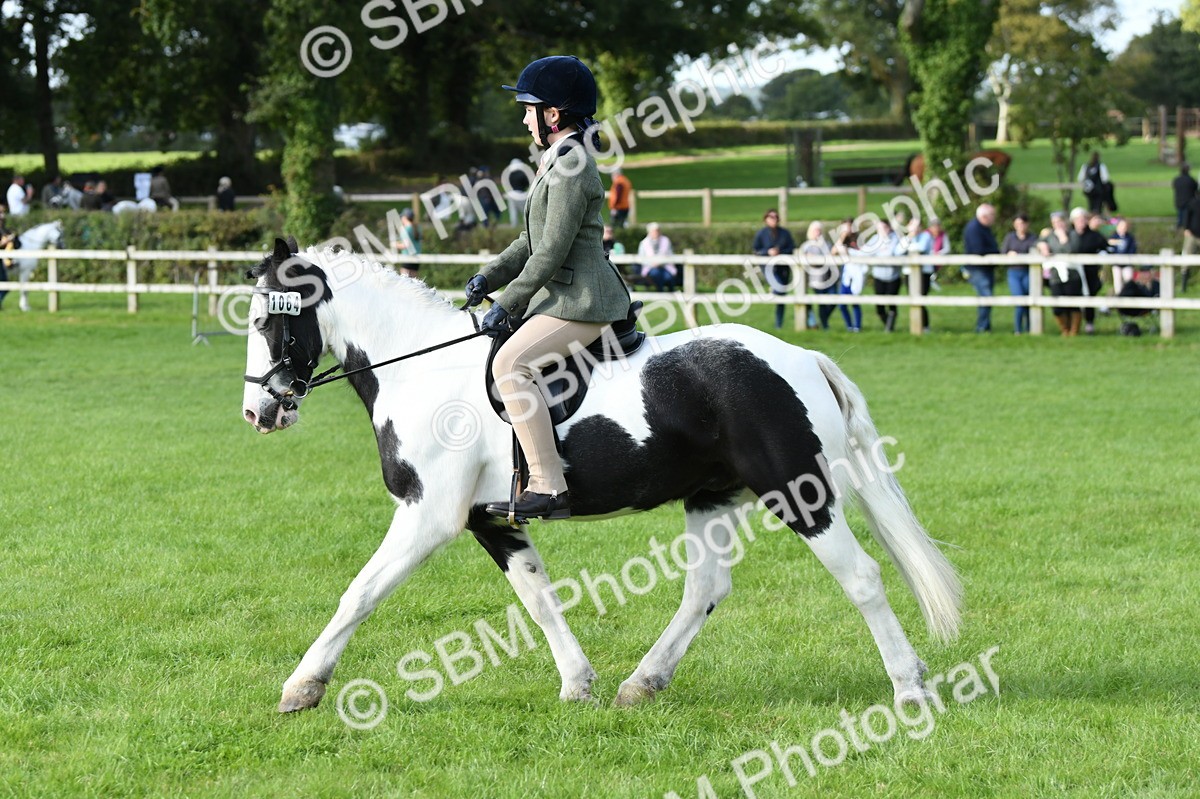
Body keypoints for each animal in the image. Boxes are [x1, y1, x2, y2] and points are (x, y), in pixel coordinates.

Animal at [242, 237, 962, 713]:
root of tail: (804, 357)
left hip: (799, 491)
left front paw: (302, 685)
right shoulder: (489, 520)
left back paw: (909, 687)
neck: (421, 370)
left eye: (264, 318)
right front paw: (577, 683)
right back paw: (641, 683)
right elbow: (538, 598)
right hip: (710, 496)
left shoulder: (428, 515)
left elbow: (359, 592)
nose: (259, 411)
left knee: (861, 576)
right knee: (705, 588)